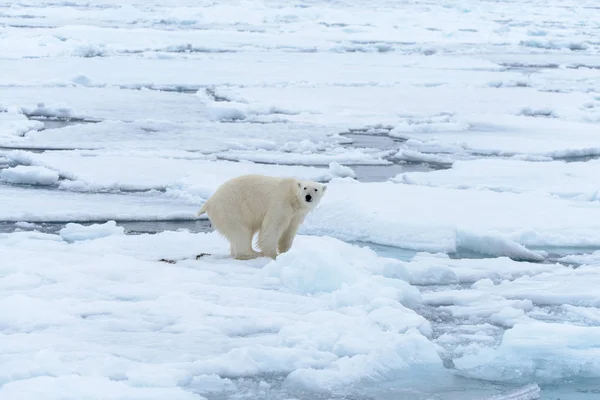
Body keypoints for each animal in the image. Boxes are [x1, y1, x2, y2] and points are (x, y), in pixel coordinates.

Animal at [197, 174, 326, 260]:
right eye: (305, 188)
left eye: (316, 189)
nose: (308, 197)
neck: (293, 198)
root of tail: (210, 201)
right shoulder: (280, 203)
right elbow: (272, 227)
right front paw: (273, 254)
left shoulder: (296, 215)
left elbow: (289, 231)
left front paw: (286, 252)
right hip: (232, 208)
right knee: (241, 231)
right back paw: (252, 253)